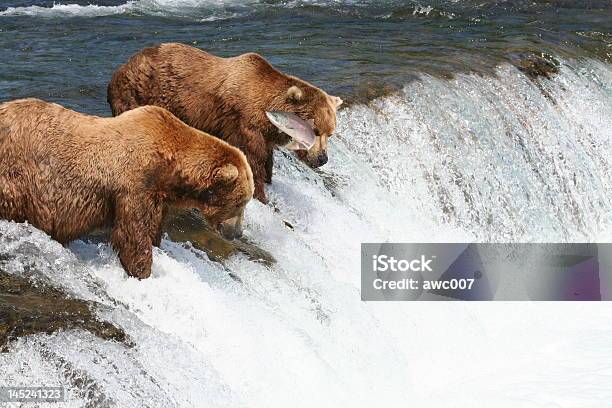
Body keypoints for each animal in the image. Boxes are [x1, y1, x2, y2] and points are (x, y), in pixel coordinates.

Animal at [0, 98, 253, 280]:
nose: (237, 232)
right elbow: (133, 234)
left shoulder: (157, 197)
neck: (168, 167)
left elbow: (153, 228)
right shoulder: (134, 185)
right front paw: (142, 271)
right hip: (17, 175)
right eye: (241, 202)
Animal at [107, 42, 342, 203]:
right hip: (138, 92)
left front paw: (268, 179)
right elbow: (252, 159)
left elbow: (266, 159)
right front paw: (260, 195)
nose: (322, 158)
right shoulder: (243, 124)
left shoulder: (264, 134)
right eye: (315, 130)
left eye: (329, 133)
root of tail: (121, 68)